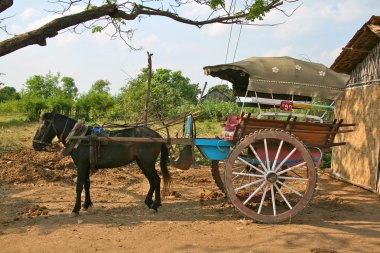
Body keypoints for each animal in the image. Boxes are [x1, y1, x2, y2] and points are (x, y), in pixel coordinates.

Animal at [33, 113, 171, 216]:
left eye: (44, 126)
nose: (35, 145)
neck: (79, 138)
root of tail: (158, 136)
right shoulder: (86, 166)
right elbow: (86, 184)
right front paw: (87, 204)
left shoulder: (81, 166)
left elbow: (79, 186)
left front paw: (76, 209)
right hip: (142, 162)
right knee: (152, 181)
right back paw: (150, 202)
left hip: (147, 163)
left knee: (156, 180)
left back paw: (155, 205)